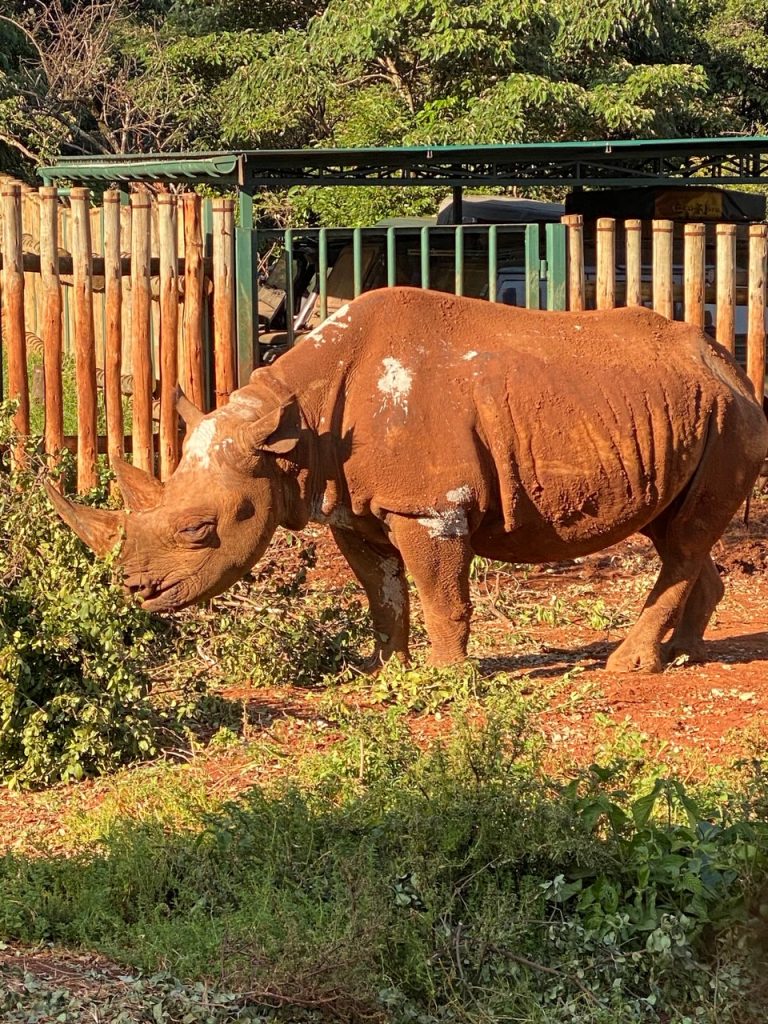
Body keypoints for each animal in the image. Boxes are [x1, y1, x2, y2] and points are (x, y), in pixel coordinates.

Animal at [48, 288, 768, 671]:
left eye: (199, 529)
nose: (136, 591)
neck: (293, 426)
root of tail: (728, 361)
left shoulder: (429, 506)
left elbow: (441, 595)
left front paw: (450, 679)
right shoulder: (351, 505)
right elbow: (383, 592)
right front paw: (381, 671)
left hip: (728, 417)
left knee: (682, 541)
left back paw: (632, 664)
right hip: (686, 414)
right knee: (676, 532)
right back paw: (685, 655)